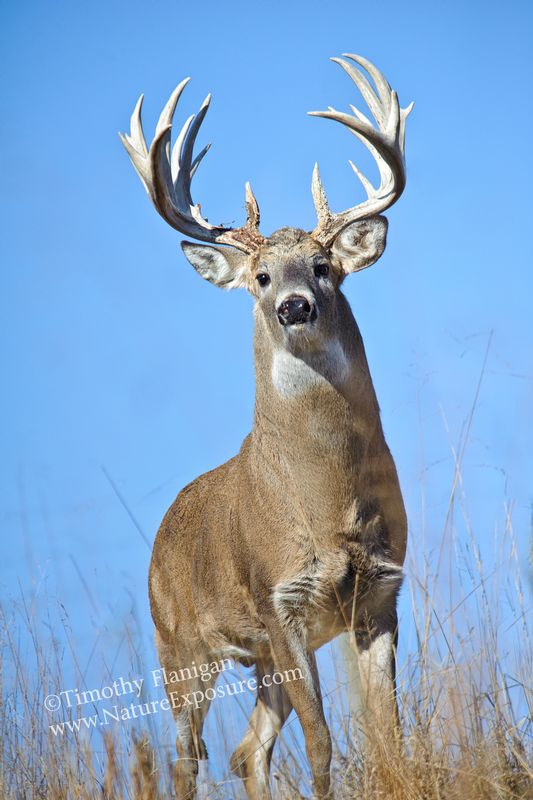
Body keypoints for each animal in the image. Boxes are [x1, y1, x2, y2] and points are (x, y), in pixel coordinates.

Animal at [120, 53, 412, 800]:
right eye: (258, 277)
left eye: (323, 266)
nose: (293, 305)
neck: (327, 502)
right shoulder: (278, 599)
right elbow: (323, 741)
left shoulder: (380, 593)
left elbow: (387, 734)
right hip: (178, 646)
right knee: (186, 754)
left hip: (256, 661)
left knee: (247, 749)